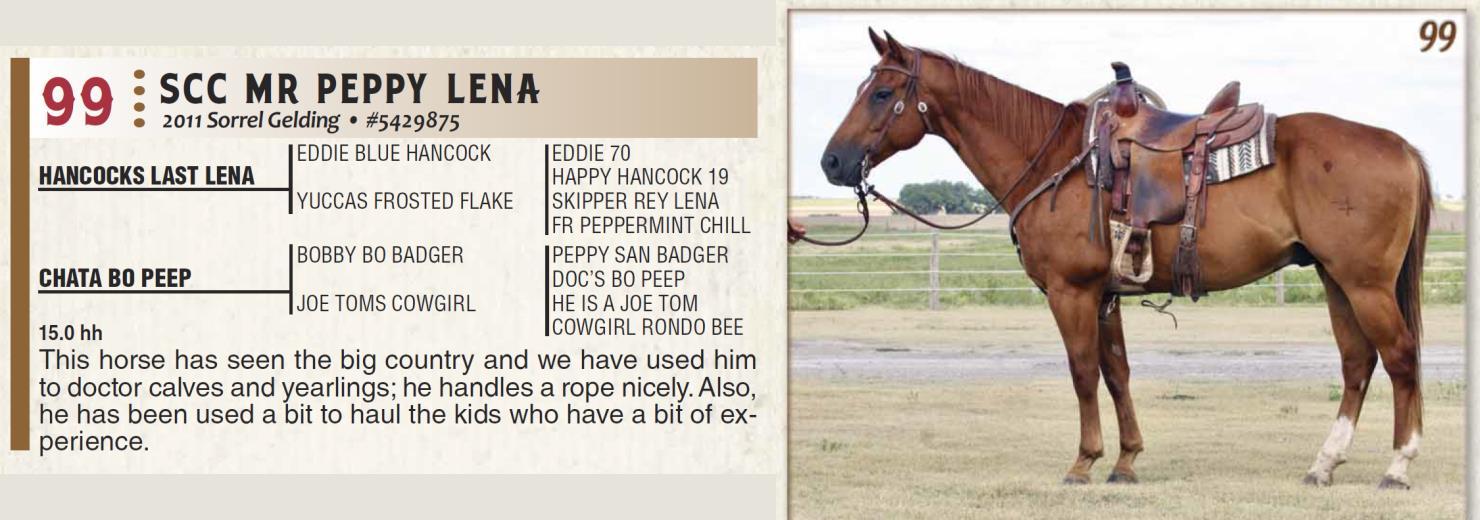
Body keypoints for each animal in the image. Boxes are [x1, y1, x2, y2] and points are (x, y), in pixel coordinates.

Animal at [812, 28, 1432, 489]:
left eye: (878, 94)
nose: (832, 162)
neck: (1054, 161)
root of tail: (1398, 144)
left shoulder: (1072, 292)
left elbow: (1084, 371)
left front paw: (1084, 461)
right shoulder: (1105, 295)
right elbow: (1116, 373)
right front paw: (1127, 460)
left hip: (1365, 284)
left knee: (1399, 357)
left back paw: (1398, 466)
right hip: (1336, 279)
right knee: (1357, 363)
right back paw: (1324, 464)